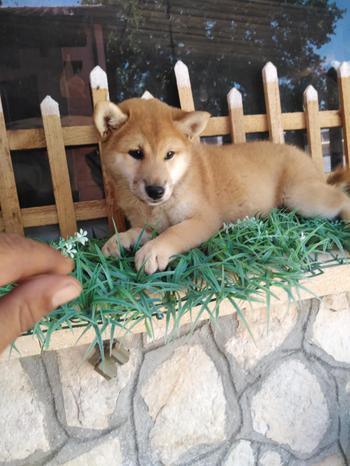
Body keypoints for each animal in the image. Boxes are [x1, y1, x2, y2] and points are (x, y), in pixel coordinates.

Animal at [92, 97, 350, 274]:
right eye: (136, 153)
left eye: (169, 155)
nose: (156, 191)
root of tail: (306, 158)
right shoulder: (148, 226)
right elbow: (134, 232)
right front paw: (116, 242)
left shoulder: (205, 219)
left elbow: (175, 232)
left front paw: (153, 251)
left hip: (301, 197)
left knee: (341, 198)